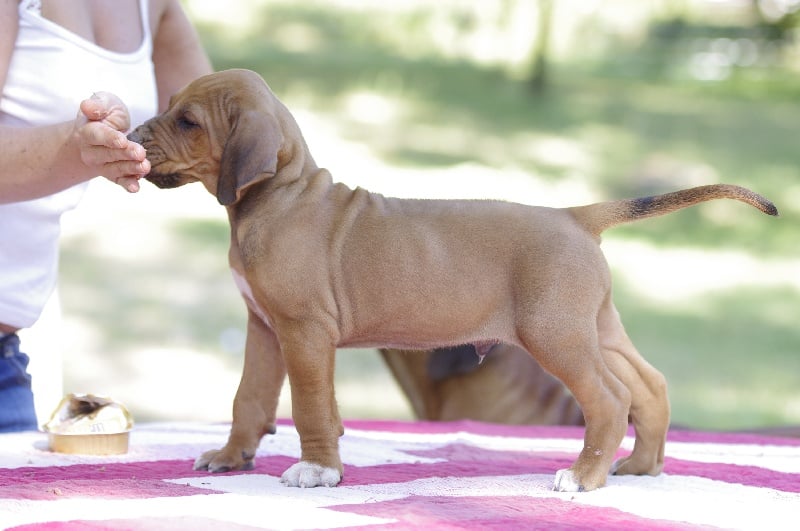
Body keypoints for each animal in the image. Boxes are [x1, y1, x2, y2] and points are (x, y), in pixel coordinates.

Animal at [128, 68, 780, 492]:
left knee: (611, 399)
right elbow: (250, 397)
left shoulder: (304, 334)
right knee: (648, 386)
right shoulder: (266, 329)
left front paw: (318, 469)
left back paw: (583, 477)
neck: (280, 197)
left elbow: (310, 405)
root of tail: (575, 215)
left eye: (187, 121)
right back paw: (642, 466)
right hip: (595, 327)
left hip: (557, 336)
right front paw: (230, 456)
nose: (131, 138)